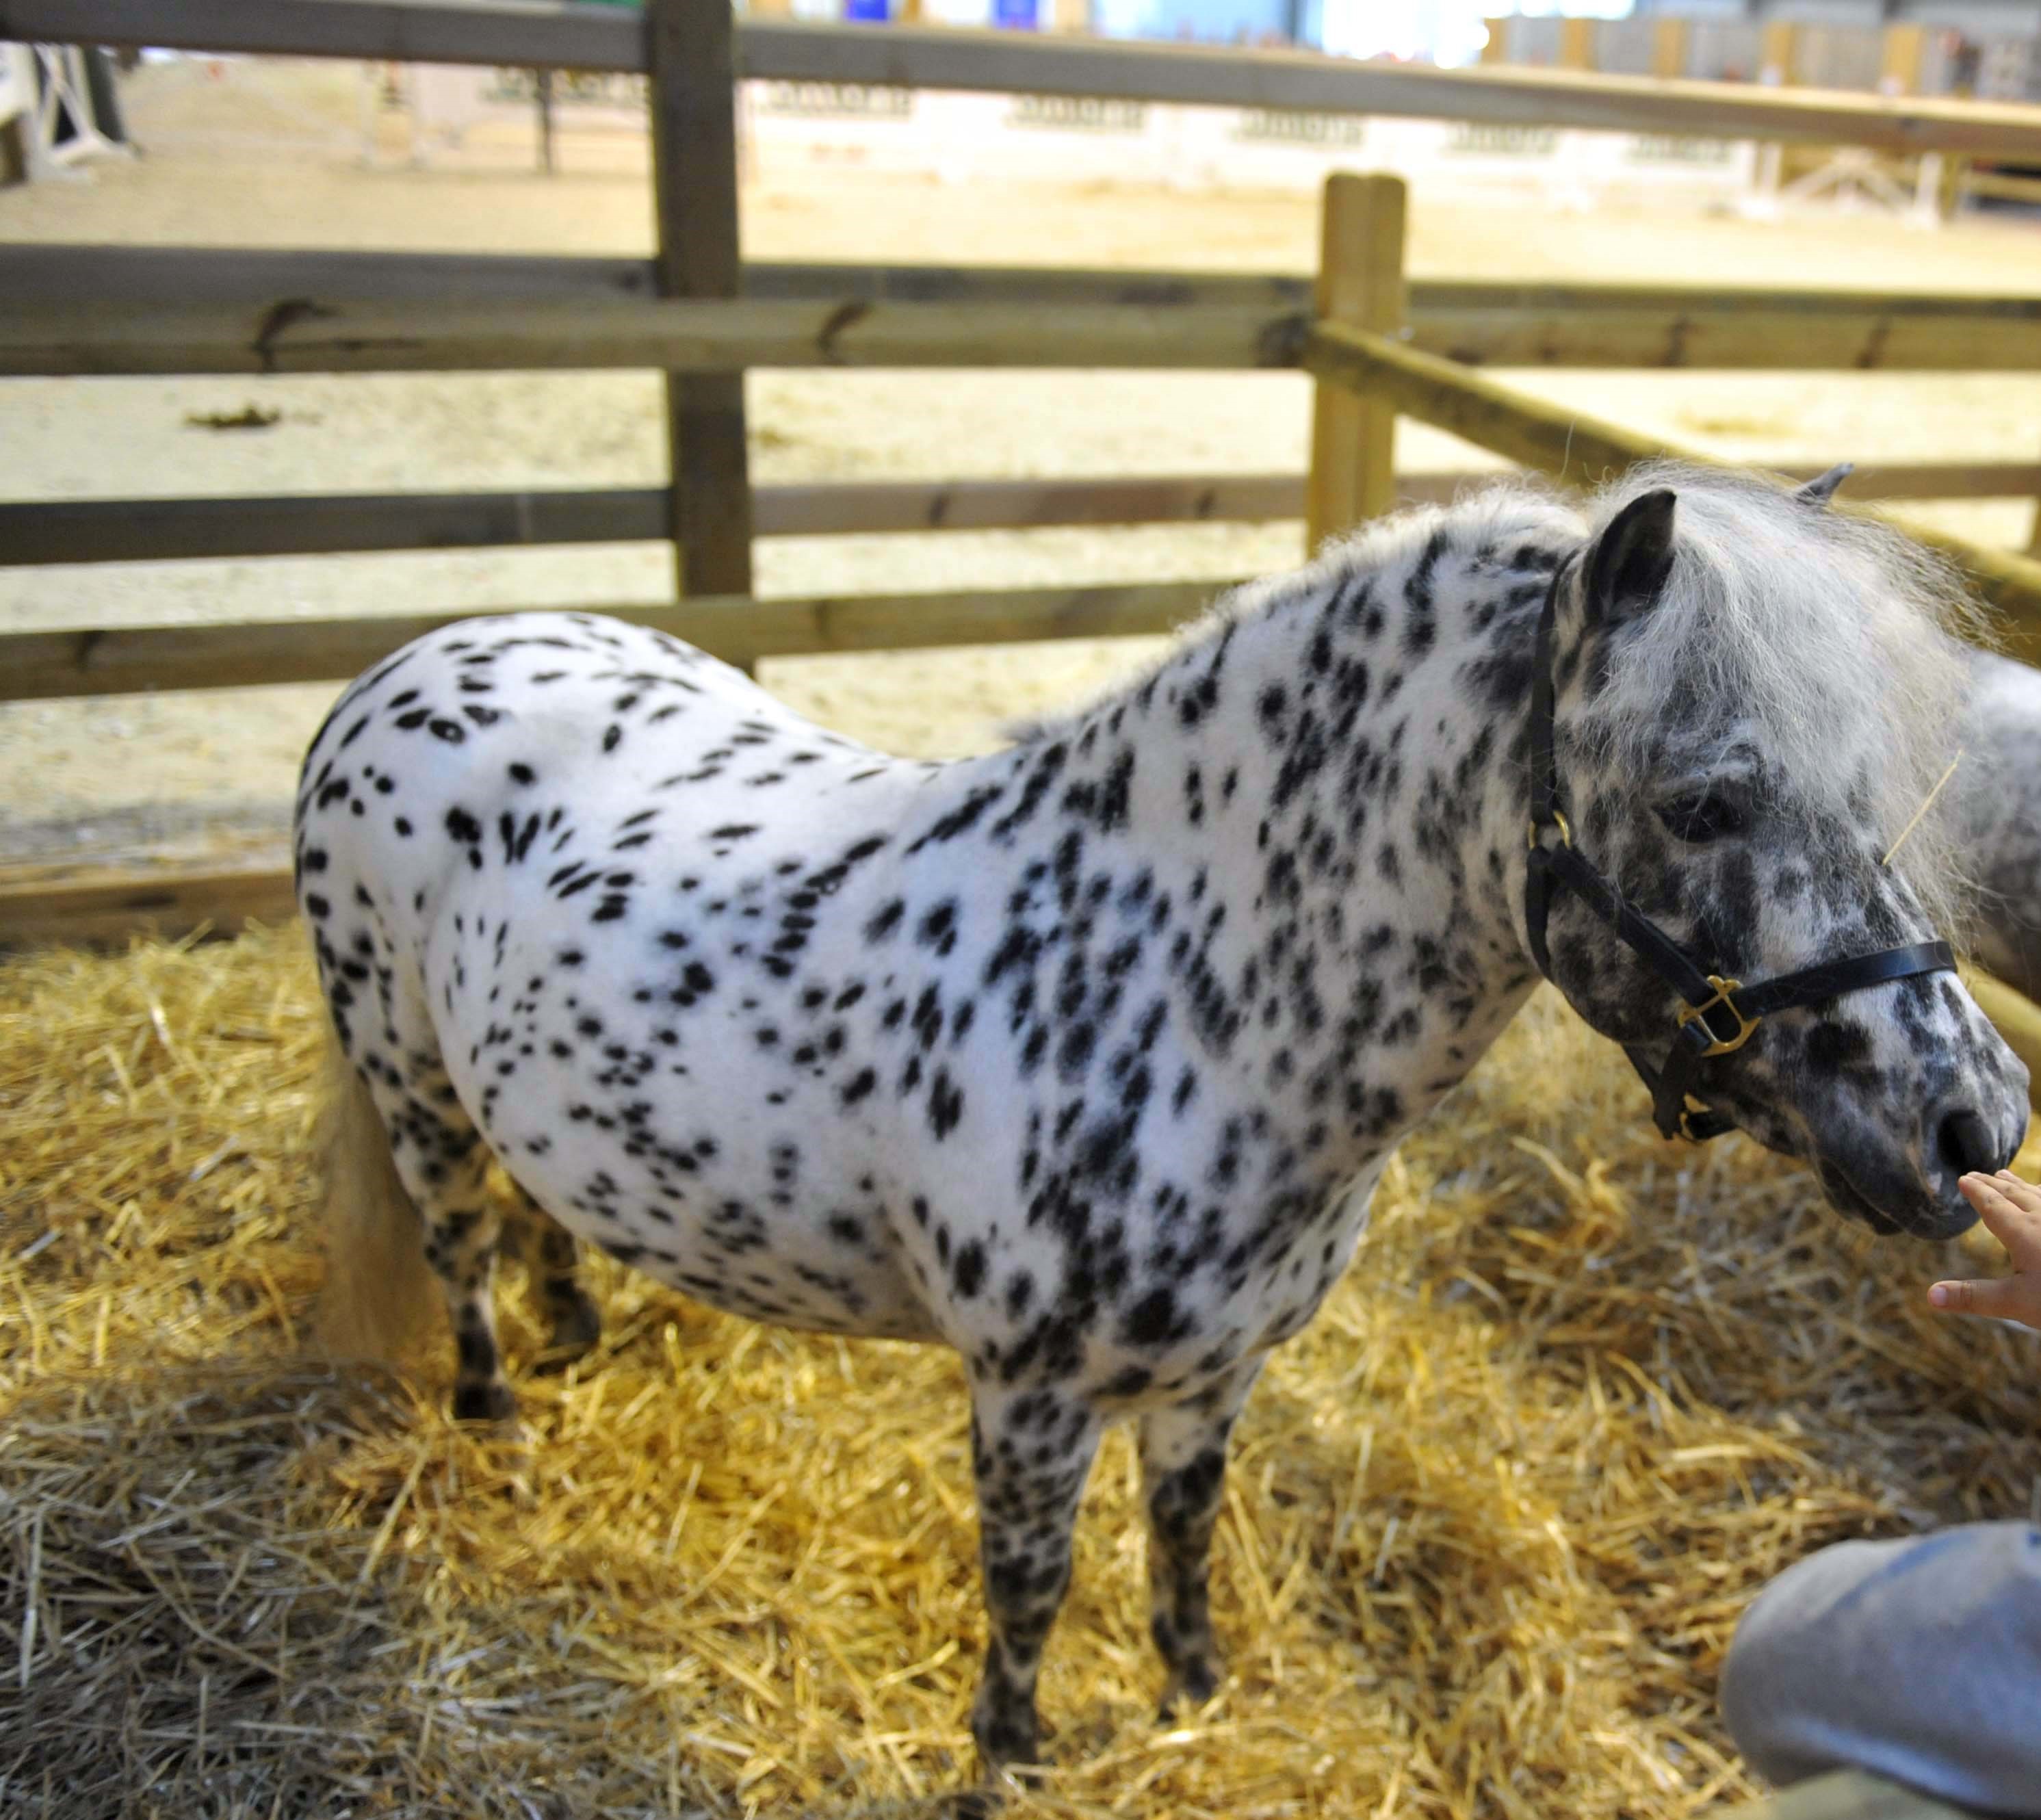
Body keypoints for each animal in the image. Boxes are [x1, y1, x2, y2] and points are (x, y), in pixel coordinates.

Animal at [296, 461, 2026, 1787]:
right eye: (1702, 803)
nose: (1976, 1124)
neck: (1163, 990)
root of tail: (405, 666)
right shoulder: (1029, 1396)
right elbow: (1028, 1587)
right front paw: (1012, 1755)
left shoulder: (1215, 1372)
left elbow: (1186, 1533)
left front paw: (1193, 1692)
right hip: (408, 1082)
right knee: (458, 1245)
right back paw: (499, 1420)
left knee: (536, 1215)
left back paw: (578, 1335)